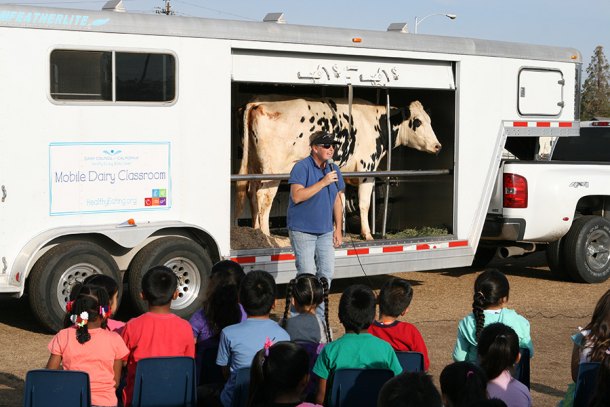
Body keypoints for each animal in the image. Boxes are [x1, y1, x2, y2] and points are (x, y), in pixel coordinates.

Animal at [232, 96, 436, 241]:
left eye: (430, 120)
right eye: (417, 121)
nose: (438, 145)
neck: (378, 122)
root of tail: (257, 103)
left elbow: (341, 200)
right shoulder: (367, 168)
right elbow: (363, 203)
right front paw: (367, 234)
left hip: (254, 165)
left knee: (251, 192)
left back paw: (256, 232)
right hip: (273, 170)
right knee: (263, 196)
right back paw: (267, 235)